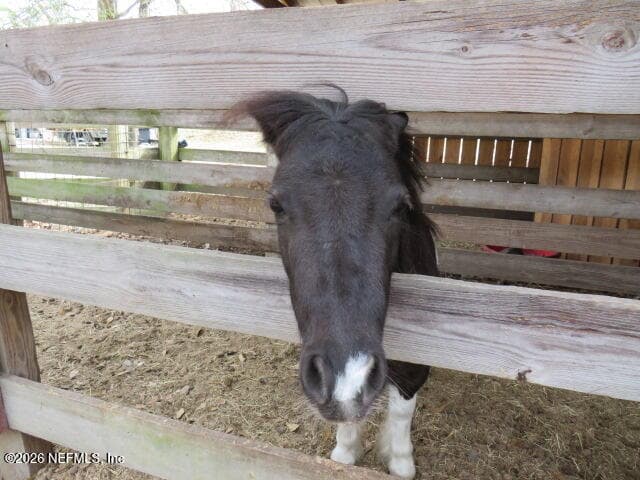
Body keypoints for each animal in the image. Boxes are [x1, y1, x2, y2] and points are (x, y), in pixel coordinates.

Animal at [229, 87, 439, 479]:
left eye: (400, 206)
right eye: (275, 204)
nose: (347, 376)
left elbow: (403, 405)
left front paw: (401, 460)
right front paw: (345, 451)